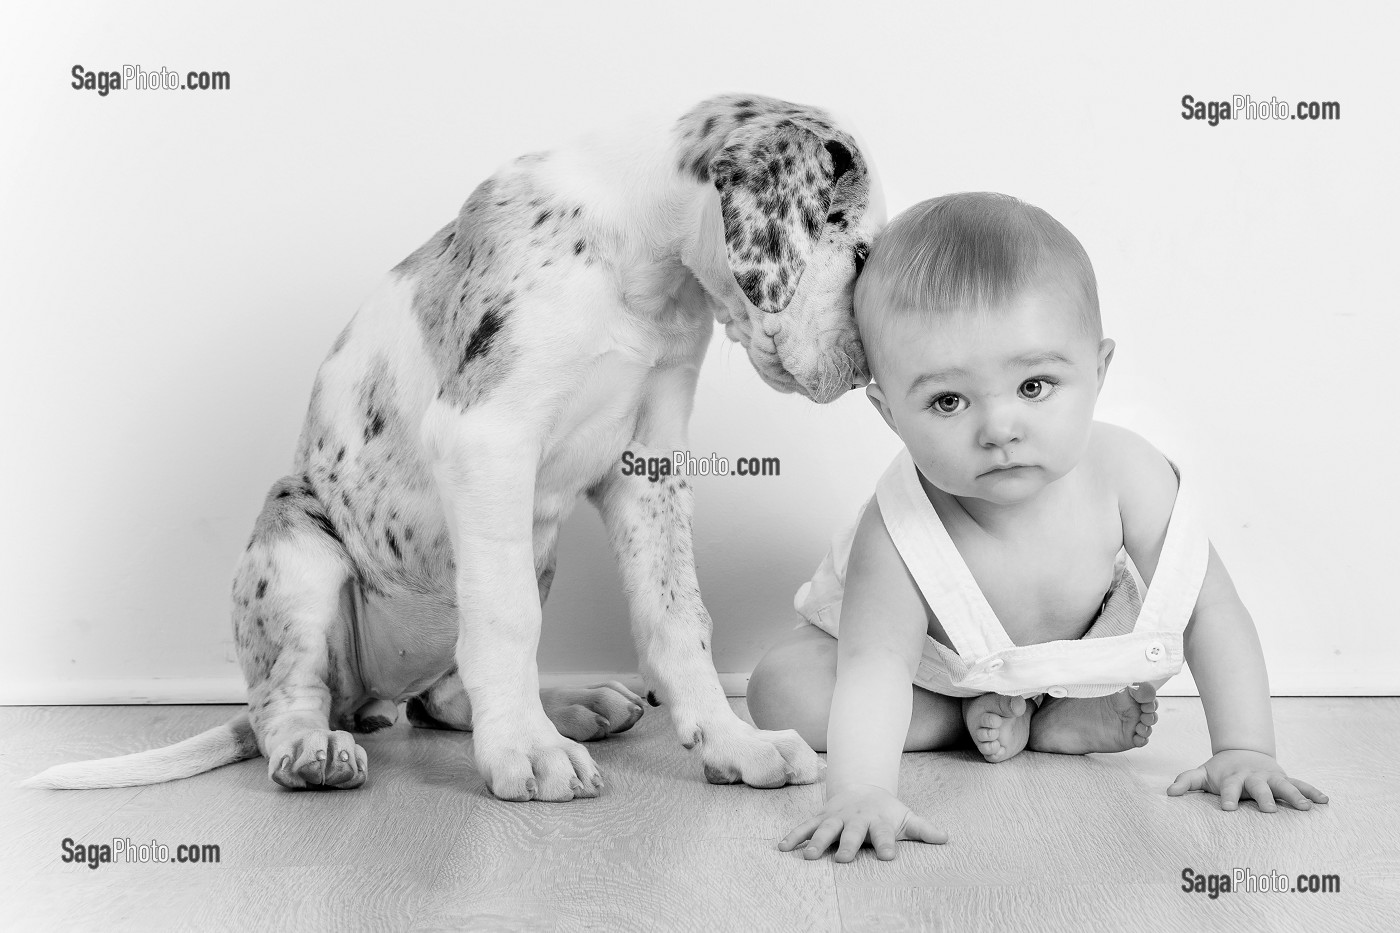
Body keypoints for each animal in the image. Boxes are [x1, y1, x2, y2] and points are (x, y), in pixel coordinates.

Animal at [27, 91, 884, 795]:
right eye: (863, 254)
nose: (865, 367)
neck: (639, 262)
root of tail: (367, 698)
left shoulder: (651, 466)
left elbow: (678, 618)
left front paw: (734, 741)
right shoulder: (488, 440)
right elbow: (506, 619)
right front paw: (527, 754)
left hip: (529, 553)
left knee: (442, 696)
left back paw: (574, 703)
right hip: (297, 546)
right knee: (288, 700)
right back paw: (317, 749)